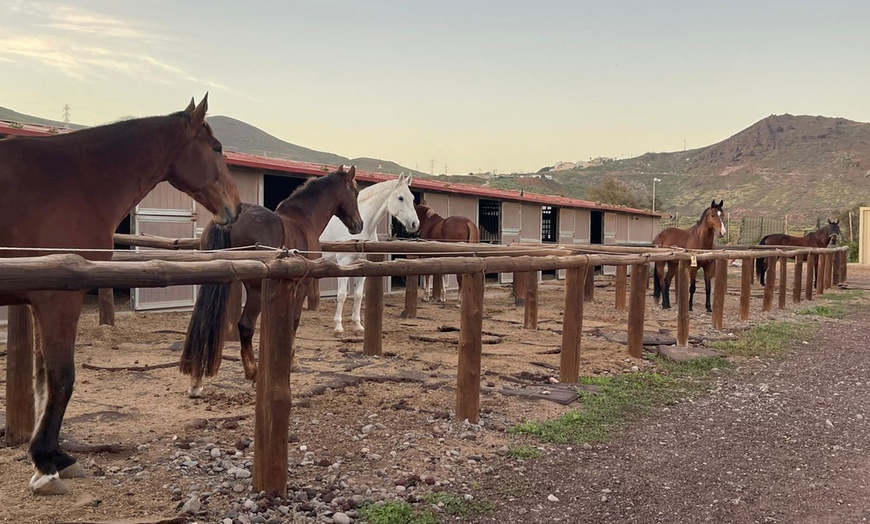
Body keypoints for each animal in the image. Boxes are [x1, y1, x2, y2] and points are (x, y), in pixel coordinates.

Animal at [0, 95, 242, 496]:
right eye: (217, 147)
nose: (235, 207)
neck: (75, 179)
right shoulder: (58, 298)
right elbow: (62, 378)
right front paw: (48, 463)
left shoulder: (41, 301)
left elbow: (43, 379)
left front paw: (50, 457)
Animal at [182, 166, 362, 396]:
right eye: (355, 193)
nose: (358, 225)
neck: (304, 219)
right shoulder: (301, 284)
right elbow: (294, 321)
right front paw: (293, 360)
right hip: (255, 289)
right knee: (246, 326)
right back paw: (253, 373)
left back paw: (196, 381)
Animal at [320, 174, 418, 334]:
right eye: (401, 198)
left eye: (413, 197)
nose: (415, 224)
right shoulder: (343, 262)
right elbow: (342, 295)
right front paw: (338, 327)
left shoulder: (362, 264)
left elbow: (359, 295)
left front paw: (358, 326)